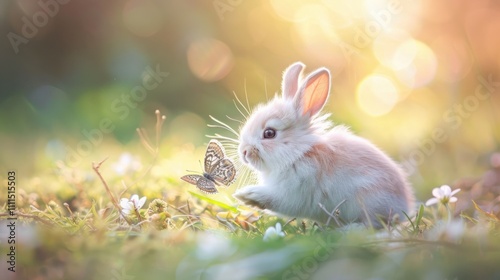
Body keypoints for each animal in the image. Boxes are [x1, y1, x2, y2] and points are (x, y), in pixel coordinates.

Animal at [233, 61, 414, 228]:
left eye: (269, 133)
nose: (244, 152)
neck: (298, 153)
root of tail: (403, 206)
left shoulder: (294, 192)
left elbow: (274, 199)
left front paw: (247, 194)